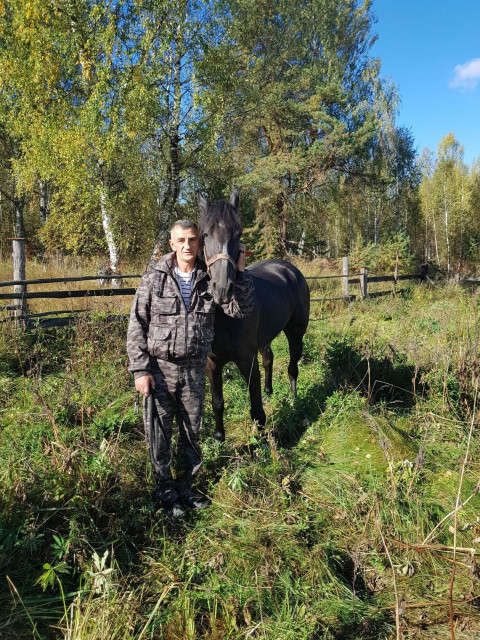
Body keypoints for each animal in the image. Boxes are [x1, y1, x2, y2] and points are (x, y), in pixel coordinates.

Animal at [196, 188, 312, 442]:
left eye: (238, 233)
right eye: (205, 234)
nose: (222, 289)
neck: (225, 318)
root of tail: (288, 268)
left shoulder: (247, 361)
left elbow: (256, 409)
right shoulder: (211, 363)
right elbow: (217, 402)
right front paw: (219, 437)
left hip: (295, 333)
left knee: (292, 367)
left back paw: (294, 399)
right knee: (269, 358)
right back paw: (270, 392)